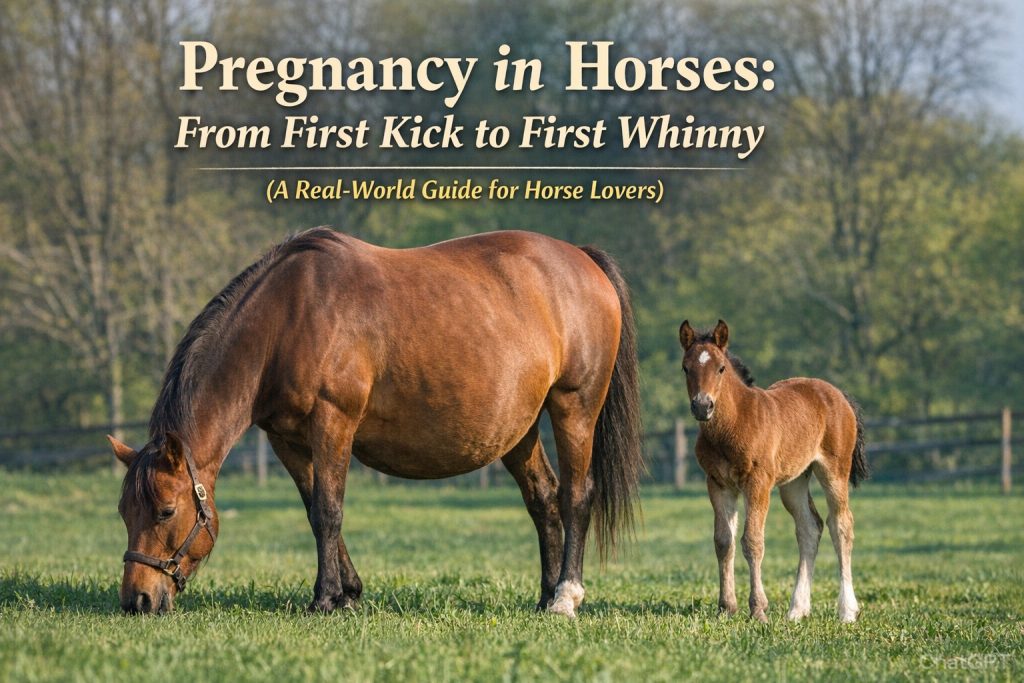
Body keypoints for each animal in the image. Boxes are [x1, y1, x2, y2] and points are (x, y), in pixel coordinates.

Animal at [108, 228, 643, 617]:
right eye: (123, 512)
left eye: (164, 511)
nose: (137, 600)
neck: (287, 318)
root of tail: (582, 258)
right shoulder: (288, 441)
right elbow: (314, 509)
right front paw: (348, 592)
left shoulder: (334, 422)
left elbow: (329, 510)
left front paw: (325, 598)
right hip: (519, 430)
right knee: (543, 500)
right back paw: (544, 594)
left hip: (575, 407)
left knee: (576, 495)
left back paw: (565, 596)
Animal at [678, 320, 869, 623]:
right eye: (686, 367)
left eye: (720, 368)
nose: (702, 406)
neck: (734, 424)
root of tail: (838, 394)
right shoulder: (718, 483)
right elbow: (723, 542)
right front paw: (726, 608)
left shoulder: (758, 483)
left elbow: (752, 541)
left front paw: (758, 609)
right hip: (794, 481)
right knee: (809, 527)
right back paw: (797, 610)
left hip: (835, 470)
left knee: (841, 526)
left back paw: (847, 611)